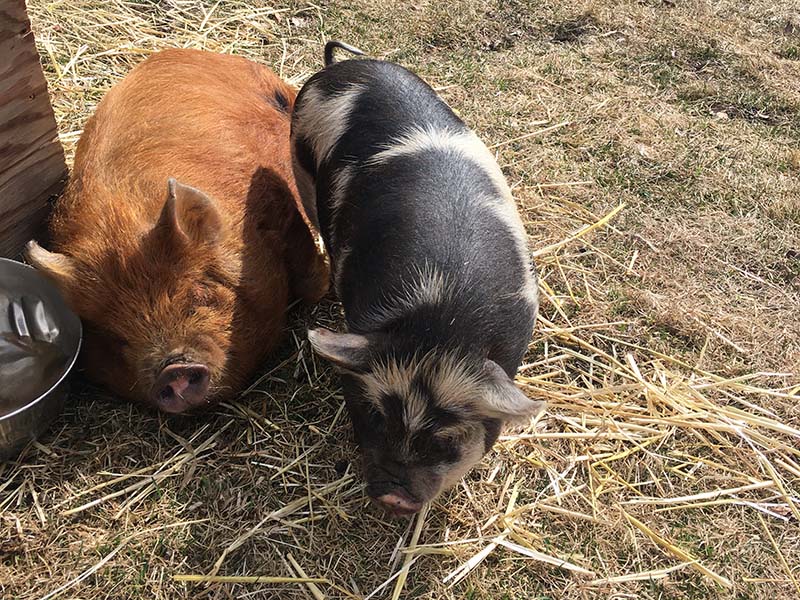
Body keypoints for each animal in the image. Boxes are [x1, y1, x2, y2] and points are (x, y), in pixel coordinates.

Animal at [27, 48, 328, 412]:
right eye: (117, 338)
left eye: (197, 293)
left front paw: (324, 284)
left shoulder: (278, 196)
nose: (173, 371)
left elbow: (308, 271)